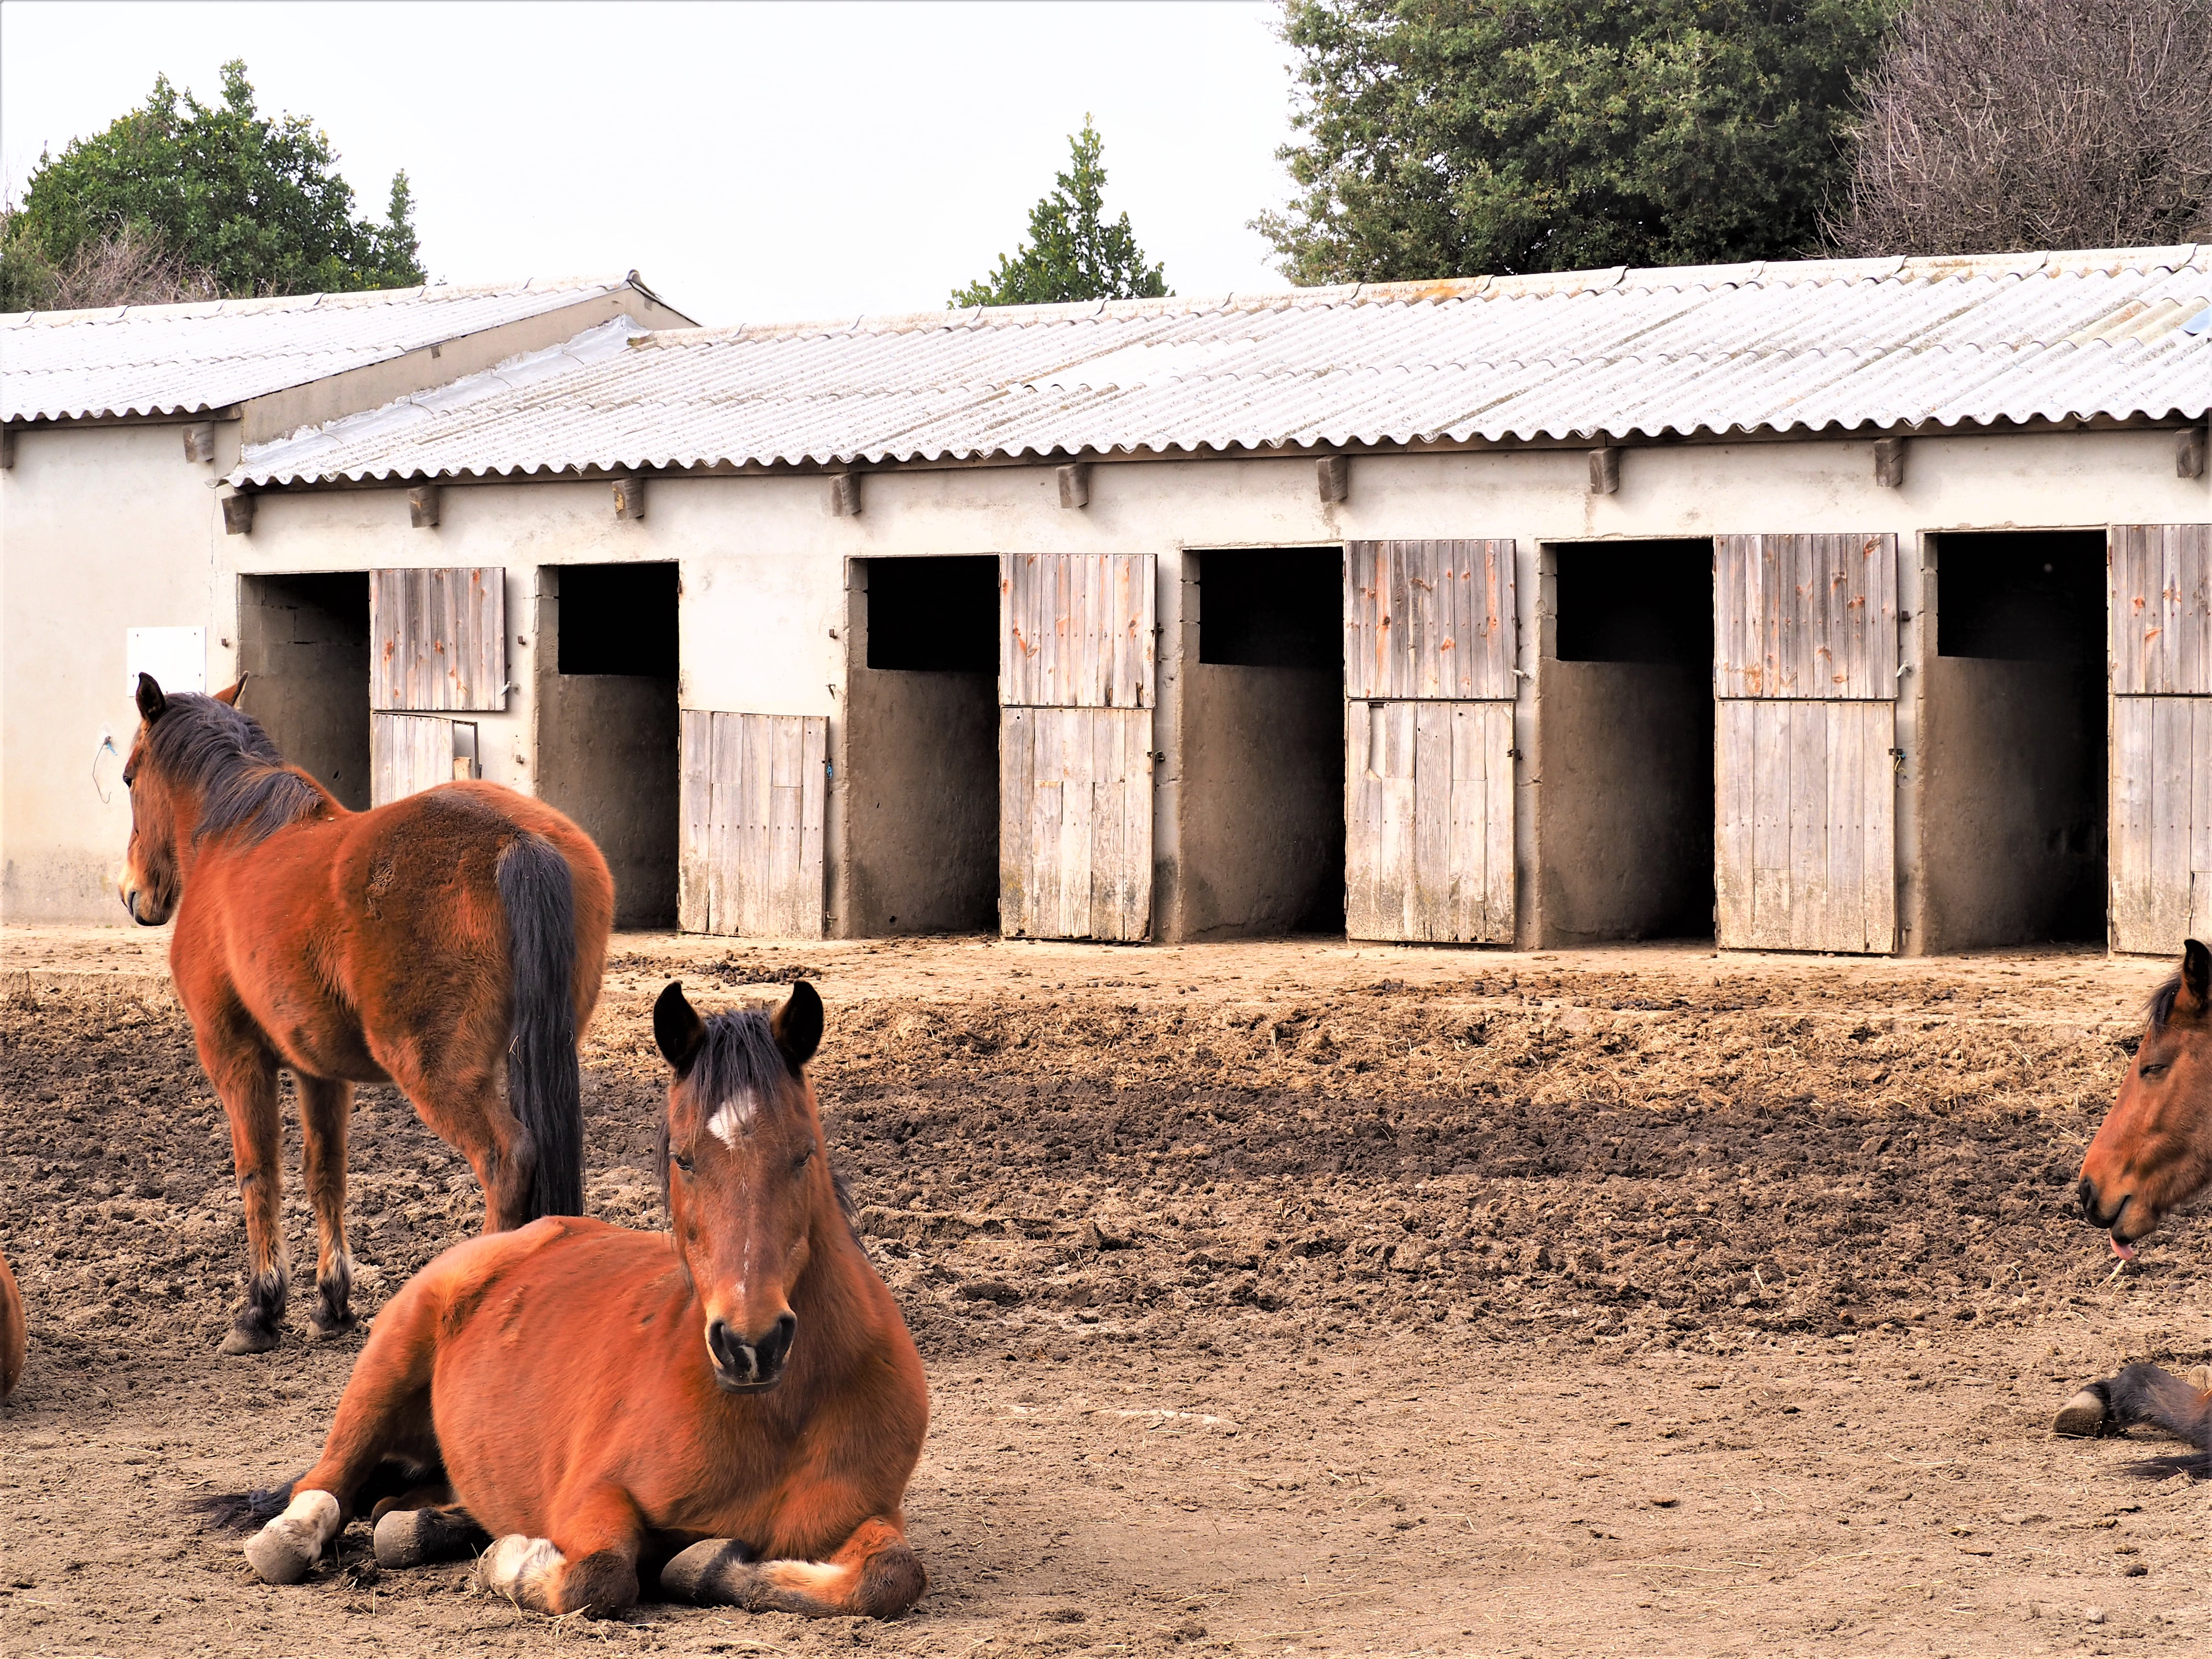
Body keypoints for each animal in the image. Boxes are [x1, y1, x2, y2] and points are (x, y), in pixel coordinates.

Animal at [128, 668, 615, 1354]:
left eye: (128, 777)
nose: (134, 894)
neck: (234, 841)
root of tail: (518, 839)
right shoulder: (319, 1071)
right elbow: (325, 1172)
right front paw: (331, 1304)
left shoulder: (233, 1054)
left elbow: (259, 1172)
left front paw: (259, 1312)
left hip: (436, 1072)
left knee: (507, 1159)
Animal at [238, 986, 929, 1628]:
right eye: (683, 1159)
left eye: (804, 1152)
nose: (751, 1345)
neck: (778, 1418)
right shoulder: (593, 1496)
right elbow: (601, 1576)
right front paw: (513, 1562)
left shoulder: (866, 1516)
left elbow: (893, 1575)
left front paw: (712, 1566)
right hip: (385, 1366)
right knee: (325, 1486)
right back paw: (294, 1535)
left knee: (393, 1514)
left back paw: (426, 1526)